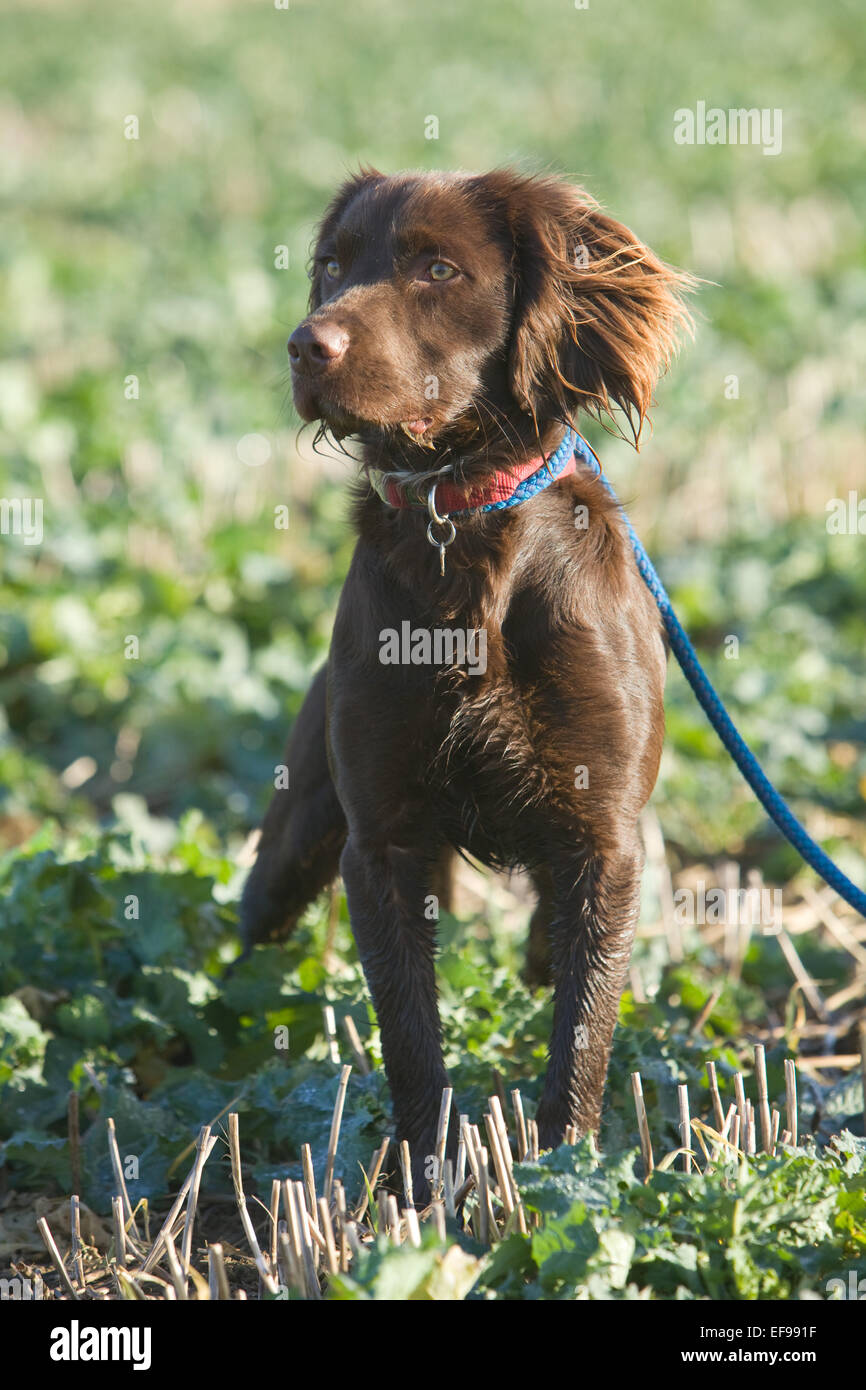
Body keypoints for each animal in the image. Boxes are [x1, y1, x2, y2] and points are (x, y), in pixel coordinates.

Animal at [239, 168, 692, 1189]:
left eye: (438, 269)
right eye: (333, 265)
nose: (305, 344)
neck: (463, 522)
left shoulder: (602, 840)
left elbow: (582, 1031)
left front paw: (562, 1174)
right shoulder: (381, 843)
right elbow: (411, 1036)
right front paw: (422, 1184)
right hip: (294, 839)